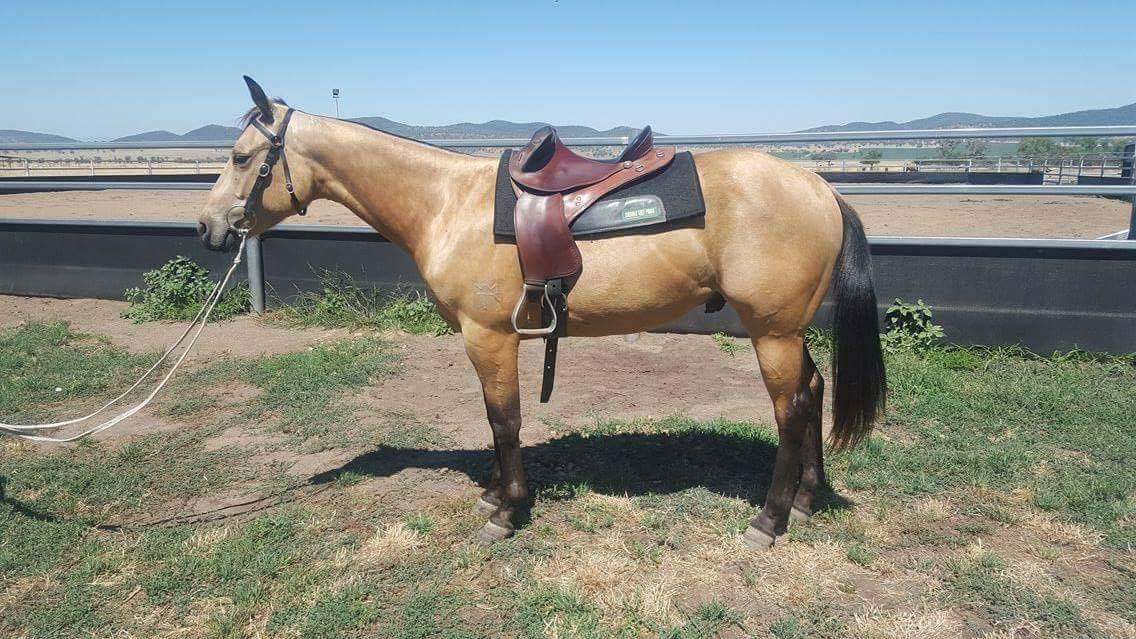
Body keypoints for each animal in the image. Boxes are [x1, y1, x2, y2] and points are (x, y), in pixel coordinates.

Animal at [197, 77, 886, 549]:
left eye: (239, 156)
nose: (208, 228)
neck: (447, 203)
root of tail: (819, 187)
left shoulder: (489, 338)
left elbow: (504, 420)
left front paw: (507, 510)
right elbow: (495, 419)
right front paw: (494, 496)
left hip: (771, 331)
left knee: (791, 410)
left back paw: (769, 518)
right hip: (786, 330)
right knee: (814, 390)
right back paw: (806, 499)